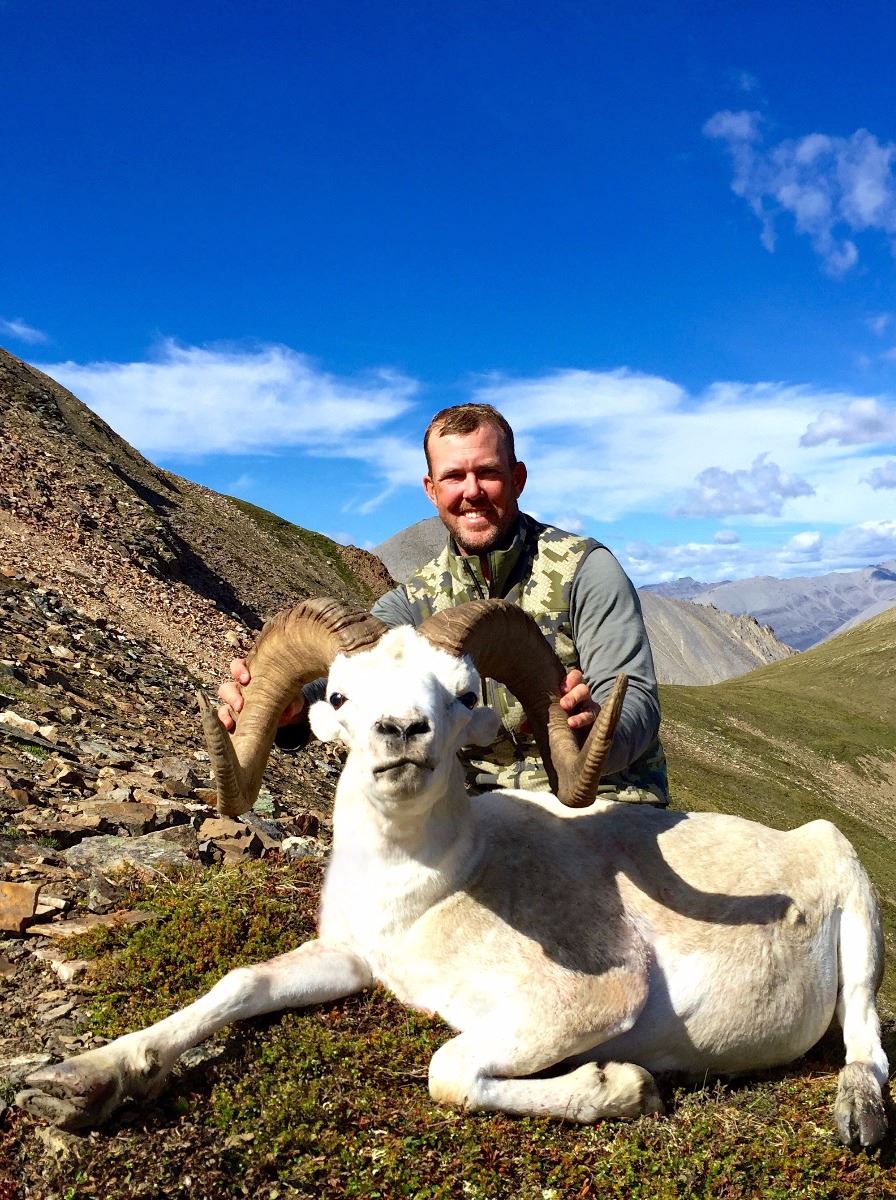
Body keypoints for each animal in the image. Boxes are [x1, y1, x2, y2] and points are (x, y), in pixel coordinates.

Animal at [16, 597, 889, 1149]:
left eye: (465, 692)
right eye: (340, 694)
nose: (401, 731)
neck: (426, 897)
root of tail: (809, 837)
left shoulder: (584, 1005)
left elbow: (446, 1071)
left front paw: (626, 1090)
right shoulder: (350, 961)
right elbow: (237, 986)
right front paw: (79, 1084)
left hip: (858, 921)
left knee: (865, 1040)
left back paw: (861, 1117)